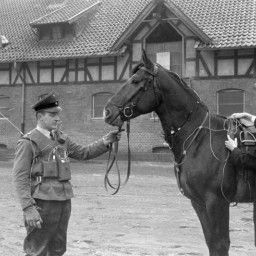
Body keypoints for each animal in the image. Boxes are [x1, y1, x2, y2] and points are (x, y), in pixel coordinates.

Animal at [102, 49, 250, 255]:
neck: (198, 138)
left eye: (136, 81)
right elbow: (211, 242)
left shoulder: (217, 202)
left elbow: (221, 244)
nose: (107, 112)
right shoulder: (199, 203)